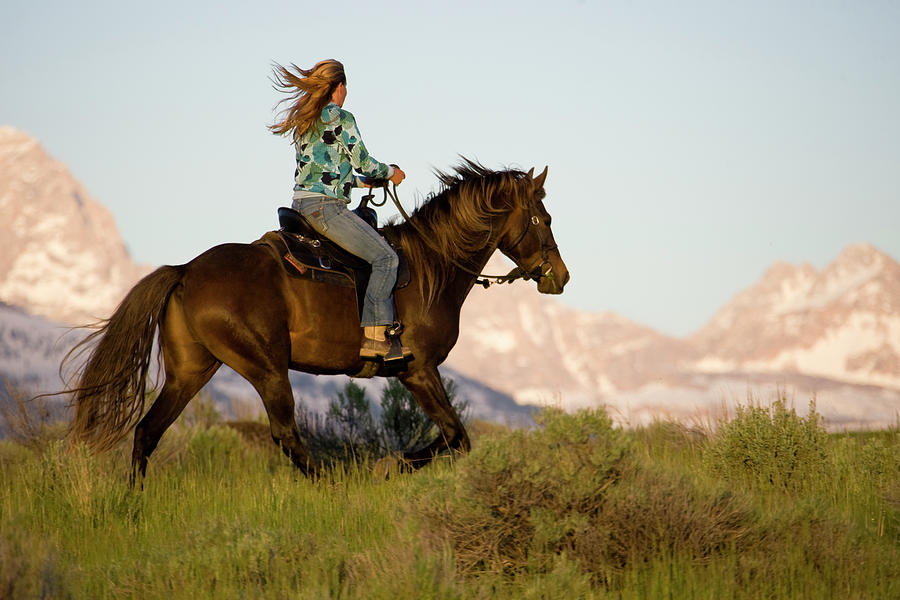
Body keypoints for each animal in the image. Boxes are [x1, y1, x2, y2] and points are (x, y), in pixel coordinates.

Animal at [67, 158, 568, 482]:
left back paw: (132, 506)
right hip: (266, 366)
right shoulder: (418, 370)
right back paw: (331, 483)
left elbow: (455, 437)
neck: (432, 267)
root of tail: (186, 270)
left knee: (148, 431)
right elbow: (455, 436)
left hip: (192, 370)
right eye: (542, 218)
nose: (559, 277)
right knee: (286, 434)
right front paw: (389, 466)